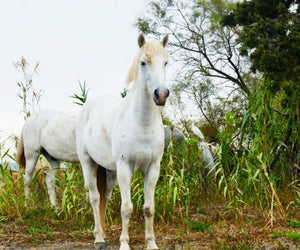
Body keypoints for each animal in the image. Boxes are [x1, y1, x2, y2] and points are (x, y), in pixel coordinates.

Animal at [75, 33, 169, 250]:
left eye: (166, 62)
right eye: (143, 62)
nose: (161, 94)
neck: (141, 123)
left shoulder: (152, 168)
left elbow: (149, 208)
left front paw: (151, 243)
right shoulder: (125, 168)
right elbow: (126, 208)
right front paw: (124, 243)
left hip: (110, 172)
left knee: (105, 198)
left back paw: (103, 235)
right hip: (89, 164)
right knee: (95, 198)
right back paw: (99, 239)